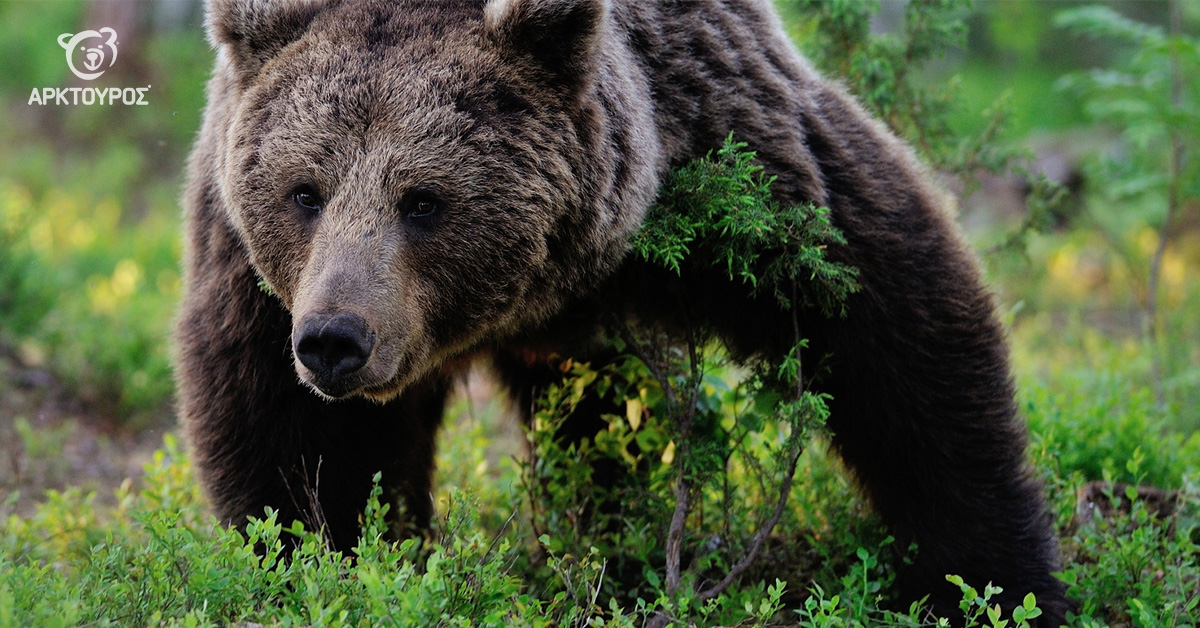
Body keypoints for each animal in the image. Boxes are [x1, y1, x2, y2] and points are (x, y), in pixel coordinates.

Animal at [177, 0, 1070, 619]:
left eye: (423, 201)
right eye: (304, 191)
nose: (336, 340)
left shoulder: (722, 138)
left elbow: (892, 325)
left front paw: (988, 578)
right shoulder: (252, 274)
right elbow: (294, 450)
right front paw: (323, 568)